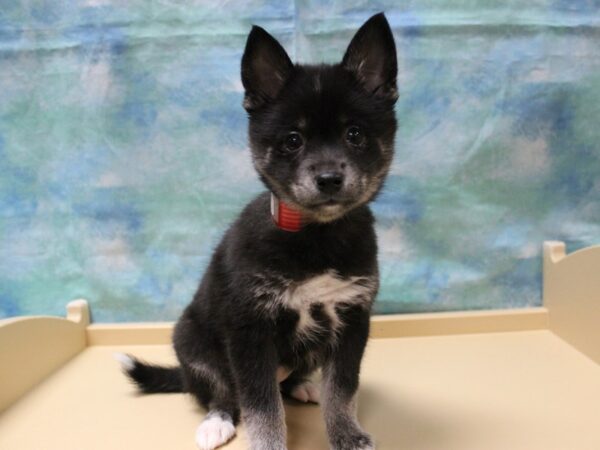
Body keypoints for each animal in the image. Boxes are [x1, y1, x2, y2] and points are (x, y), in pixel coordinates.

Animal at [118, 12, 398, 450]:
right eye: (293, 140)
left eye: (354, 134)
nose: (329, 179)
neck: (314, 237)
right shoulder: (249, 331)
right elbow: (262, 406)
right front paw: (268, 442)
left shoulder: (352, 320)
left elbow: (343, 390)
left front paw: (348, 435)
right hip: (192, 341)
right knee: (221, 390)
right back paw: (217, 419)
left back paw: (304, 386)